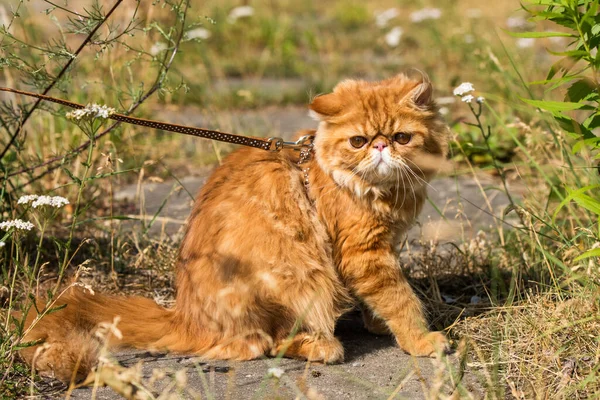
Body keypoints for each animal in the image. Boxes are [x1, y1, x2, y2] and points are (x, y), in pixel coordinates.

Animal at [21, 72, 448, 382]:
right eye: (358, 141)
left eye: (401, 137)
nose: (380, 147)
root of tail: (183, 317)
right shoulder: (363, 253)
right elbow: (400, 299)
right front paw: (420, 339)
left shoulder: (384, 247)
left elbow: (386, 297)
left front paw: (379, 326)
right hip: (302, 276)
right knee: (271, 343)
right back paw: (322, 346)